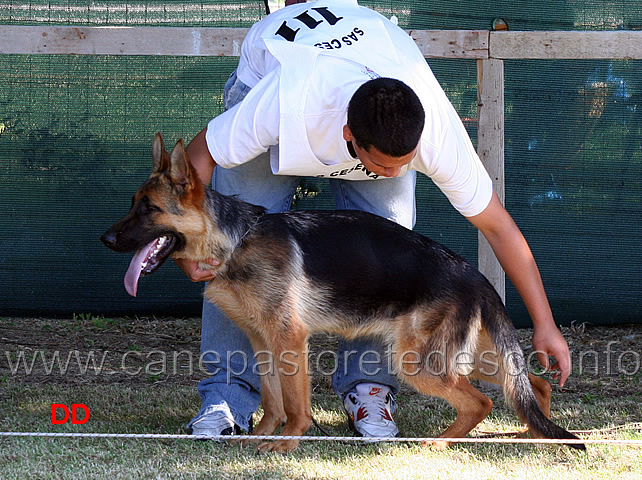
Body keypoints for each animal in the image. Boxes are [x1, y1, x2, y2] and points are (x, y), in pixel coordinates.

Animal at [99, 133, 580, 452]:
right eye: (132, 204)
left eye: (149, 210)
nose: (105, 239)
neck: (235, 239)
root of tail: (476, 277)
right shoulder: (262, 340)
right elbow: (272, 398)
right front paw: (263, 434)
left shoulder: (290, 338)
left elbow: (295, 403)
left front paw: (287, 443)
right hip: (467, 357)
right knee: (531, 383)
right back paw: (533, 435)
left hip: (419, 362)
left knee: (480, 401)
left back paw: (438, 443)